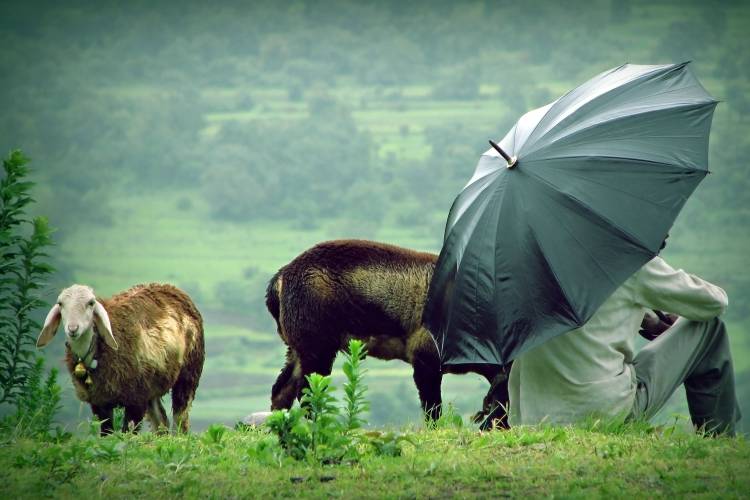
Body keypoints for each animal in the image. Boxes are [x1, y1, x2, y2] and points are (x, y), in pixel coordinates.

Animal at [36, 286, 204, 434]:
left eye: (91, 303)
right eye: (60, 304)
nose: (72, 329)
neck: (96, 350)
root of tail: (170, 288)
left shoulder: (136, 400)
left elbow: (127, 435)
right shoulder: (100, 402)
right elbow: (107, 434)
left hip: (188, 374)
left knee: (180, 419)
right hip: (152, 385)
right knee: (160, 423)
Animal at [264, 240, 512, 428]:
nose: (500, 426)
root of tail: (282, 277)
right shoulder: (425, 359)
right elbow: (433, 408)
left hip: (299, 347)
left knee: (281, 390)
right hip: (317, 348)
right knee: (308, 393)